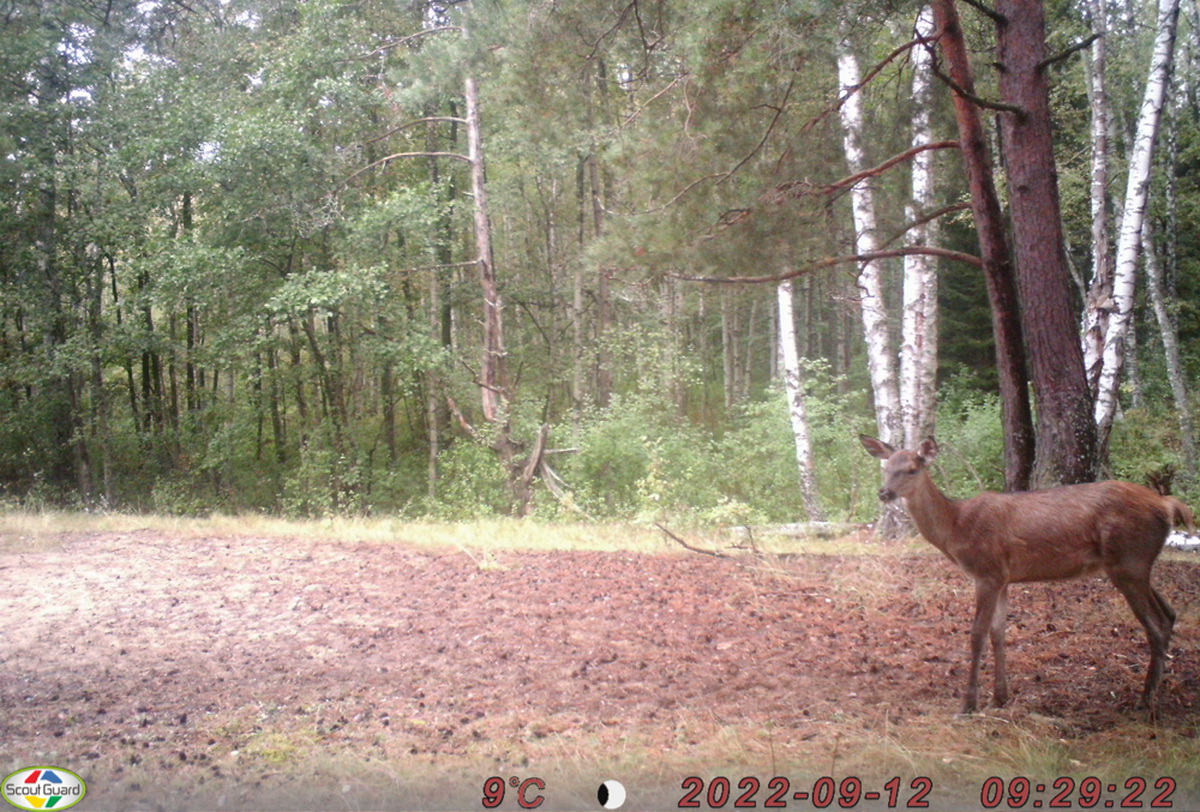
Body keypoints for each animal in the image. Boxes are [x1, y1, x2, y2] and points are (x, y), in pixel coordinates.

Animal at [864, 434, 1190, 714]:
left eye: (912, 469)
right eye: (886, 468)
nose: (884, 493)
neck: (956, 528)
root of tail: (1166, 504)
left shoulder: (986, 571)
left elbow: (977, 634)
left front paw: (968, 704)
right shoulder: (1003, 578)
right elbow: (998, 633)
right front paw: (1000, 697)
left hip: (1128, 561)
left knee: (1156, 624)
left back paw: (1145, 699)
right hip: (1136, 565)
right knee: (1170, 613)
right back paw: (1155, 692)